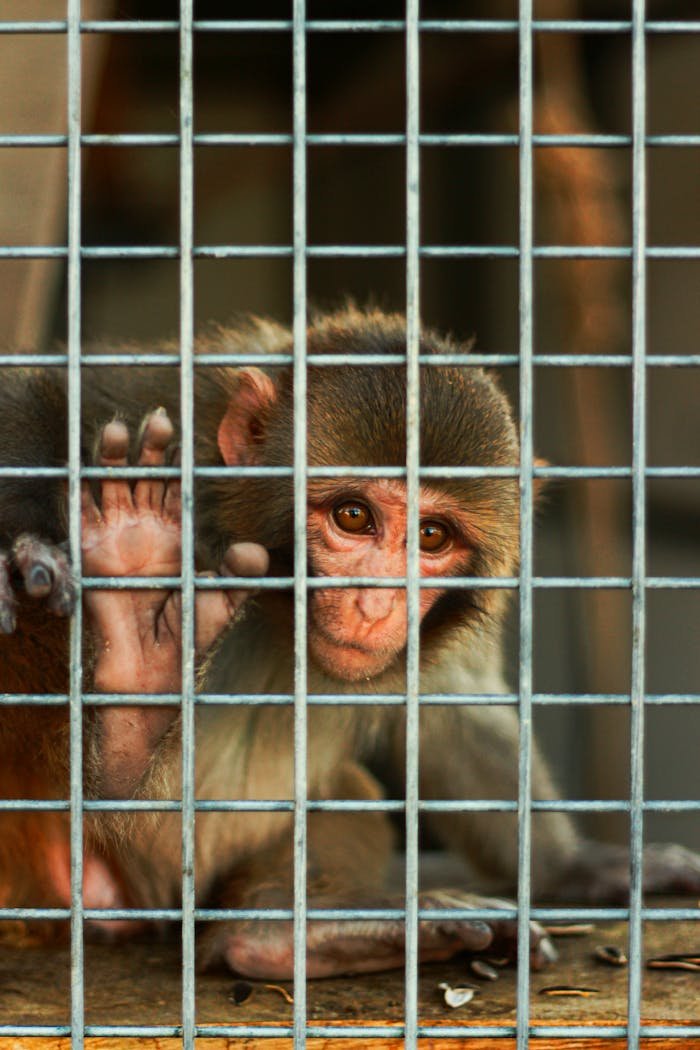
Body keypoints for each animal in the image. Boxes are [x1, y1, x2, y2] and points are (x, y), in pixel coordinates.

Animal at [1, 306, 699, 976]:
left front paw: (577, 865)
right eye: (353, 517)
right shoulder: (172, 410)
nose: (375, 604)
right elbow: (37, 399)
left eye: (432, 536)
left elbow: (454, 707)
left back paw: (284, 932)